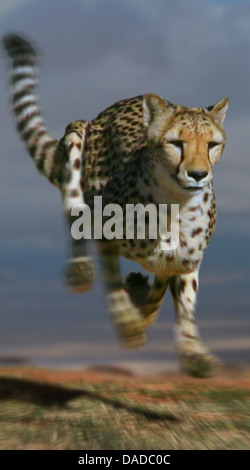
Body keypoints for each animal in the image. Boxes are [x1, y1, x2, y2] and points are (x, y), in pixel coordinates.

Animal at [2, 34, 229, 378]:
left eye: (212, 145)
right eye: (176, 143)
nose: (199, 174)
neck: (175, 206)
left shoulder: (187, 261)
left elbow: (183, 299)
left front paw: (193, 352)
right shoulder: (106, 235)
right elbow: (112, 285)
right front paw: (129, 322)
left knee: (157, 278)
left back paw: (140, 293)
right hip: (77, 134)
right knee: (74, 207)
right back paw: (82, 271)